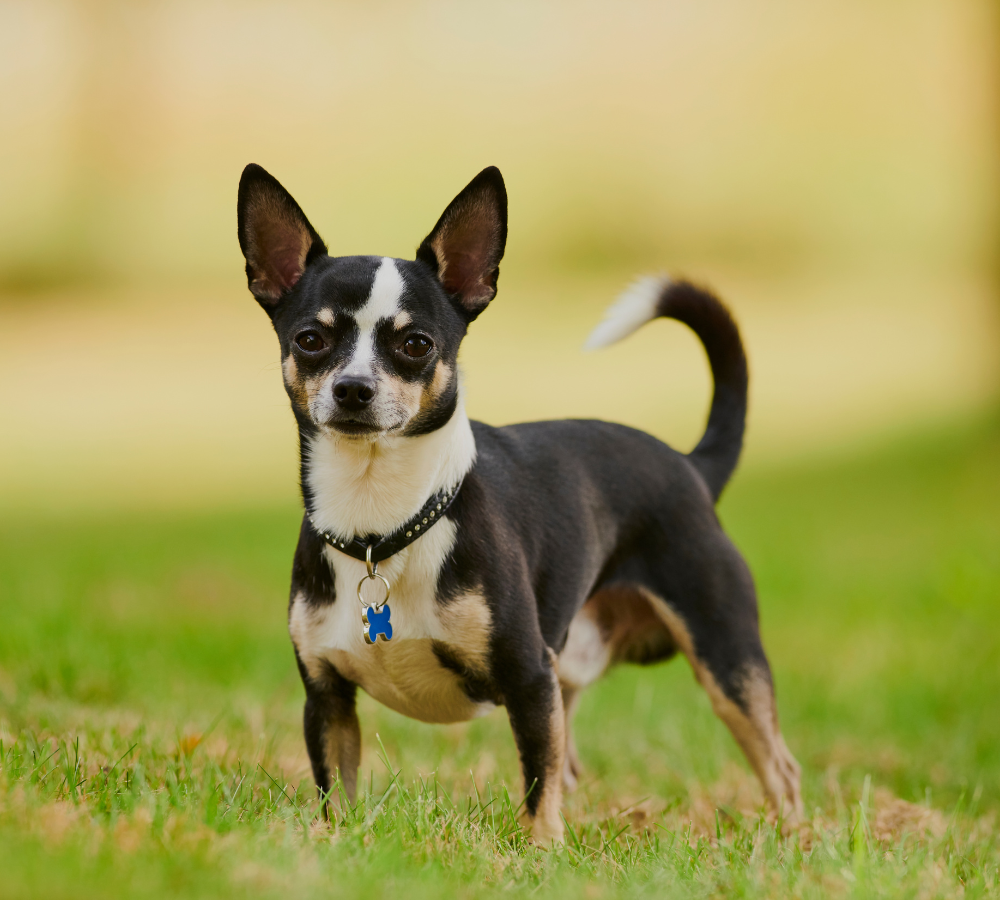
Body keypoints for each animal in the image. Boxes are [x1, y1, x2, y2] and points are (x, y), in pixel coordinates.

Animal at [236, 163, 804, 844]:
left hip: (724, 657)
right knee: (575, 764)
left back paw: (795, 841)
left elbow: (537, 782)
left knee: (780, 766)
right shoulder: (327, 699)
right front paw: (335, 845)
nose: (353, 389)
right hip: (575, 670)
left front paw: (541, 851)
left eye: (417, 344)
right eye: (310, 340)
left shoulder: (529, 680)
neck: (381, 527)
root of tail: (690, 465)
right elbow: (335, 791)